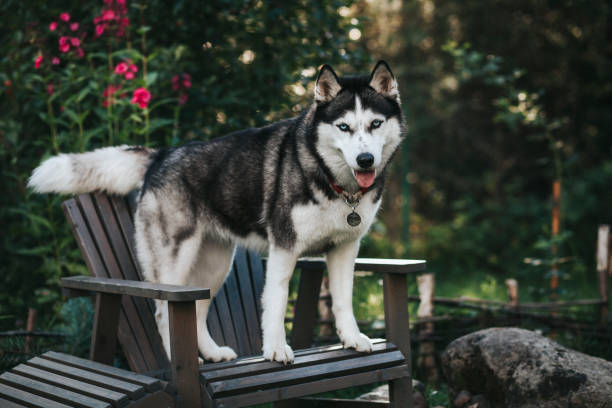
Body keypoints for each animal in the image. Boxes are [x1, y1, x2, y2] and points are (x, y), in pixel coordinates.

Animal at [28, 61, 404, 364]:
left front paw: (352, 338)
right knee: (164, 311)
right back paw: (176, 362)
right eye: (344, 127)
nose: (365, 160)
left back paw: (210, 354)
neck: (335, 184)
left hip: (214, 265)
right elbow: (277, 301)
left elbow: (343, 299)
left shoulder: (344, 248)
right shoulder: (284, 248)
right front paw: (275, 349)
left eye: (375, 124)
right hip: (174, 263)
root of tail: (162, 154)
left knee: (195, 310)